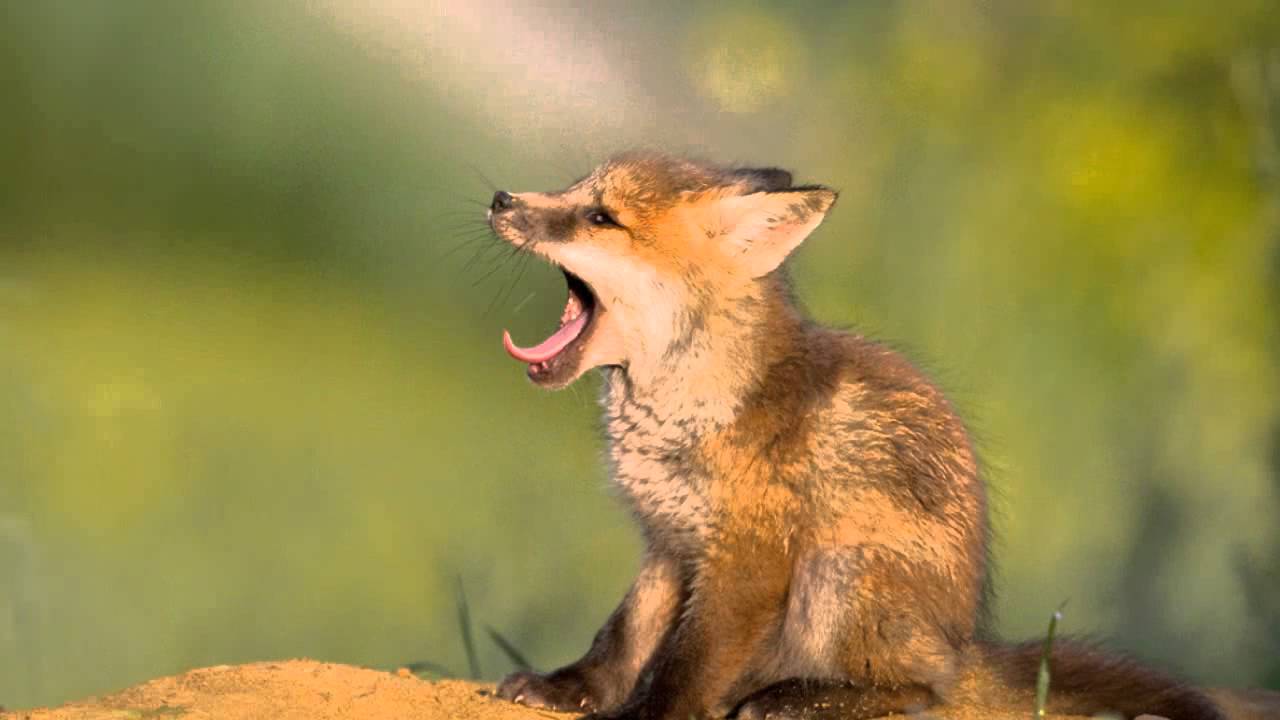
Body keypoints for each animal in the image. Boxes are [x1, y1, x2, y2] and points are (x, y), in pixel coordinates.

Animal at [482, 151, 1236, 720]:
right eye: (577, 191)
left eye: (600, 217)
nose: (498, 197)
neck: (686, 416)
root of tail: (963, 639)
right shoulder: (669, 543)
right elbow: (622, 639)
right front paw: (567, 689)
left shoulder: (747, 560)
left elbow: (685, 668)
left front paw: (642, 714)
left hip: (837, 574)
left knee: (923, 692)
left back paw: (794, 698)